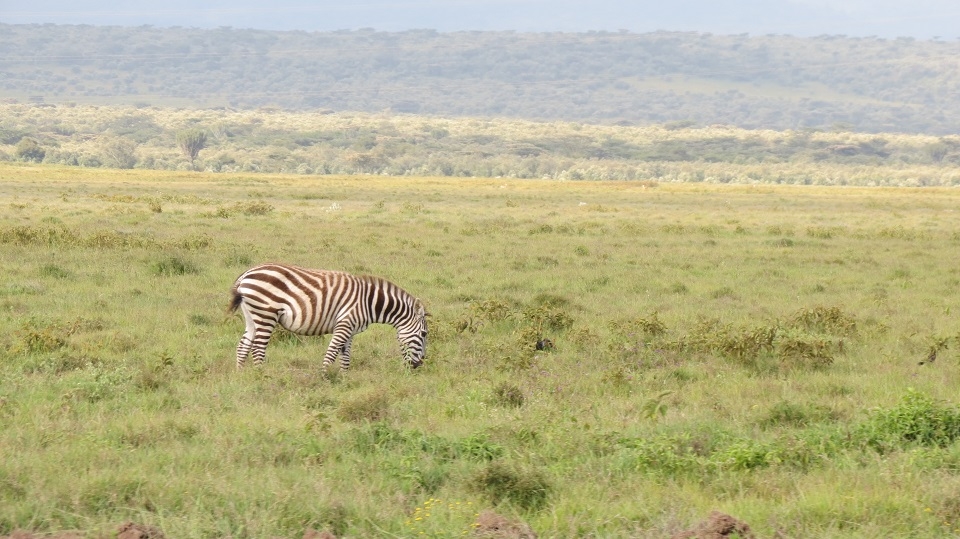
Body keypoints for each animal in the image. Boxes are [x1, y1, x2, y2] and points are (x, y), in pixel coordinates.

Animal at [229, 263, 427, 370]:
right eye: (424, 334)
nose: (419, 365)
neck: (368, 302)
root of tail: (245, 275)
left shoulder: (351, 330)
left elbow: (345, 357)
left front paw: (344, 381)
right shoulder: (344, 324)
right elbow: (331, 354)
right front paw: (324, 378)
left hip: (252, 317)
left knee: (243, 346)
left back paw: (243, 375)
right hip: (266, 315)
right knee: (258, 349)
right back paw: (262, 376)